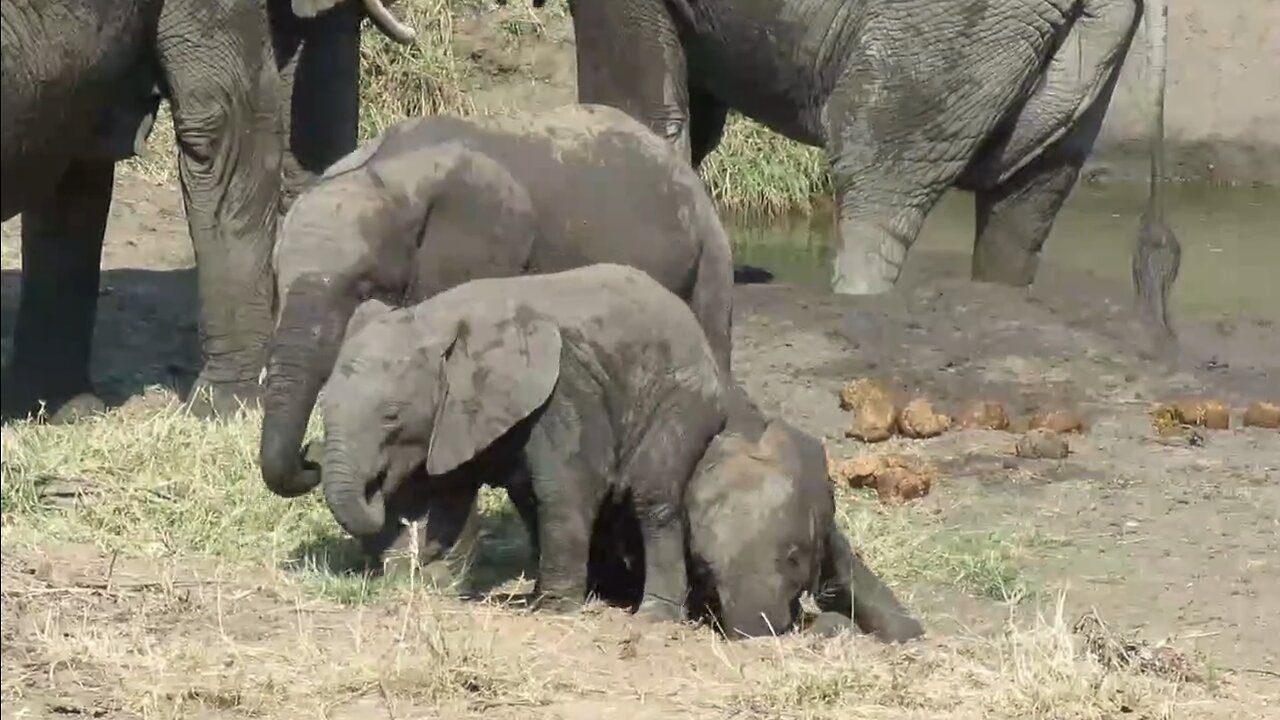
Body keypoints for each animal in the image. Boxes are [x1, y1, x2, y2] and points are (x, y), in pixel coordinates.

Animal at [314, 260, 732, 620]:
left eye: (392, 416)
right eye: (324, 404)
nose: (375, 487)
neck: (435, 319)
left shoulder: (566, 385)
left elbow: (567, 485)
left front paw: (553, 610)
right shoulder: (456, 415)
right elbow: (449, 493)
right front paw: (436, 582)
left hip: (682, 398)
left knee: (650, 495)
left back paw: (651, 615)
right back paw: (603, 591)